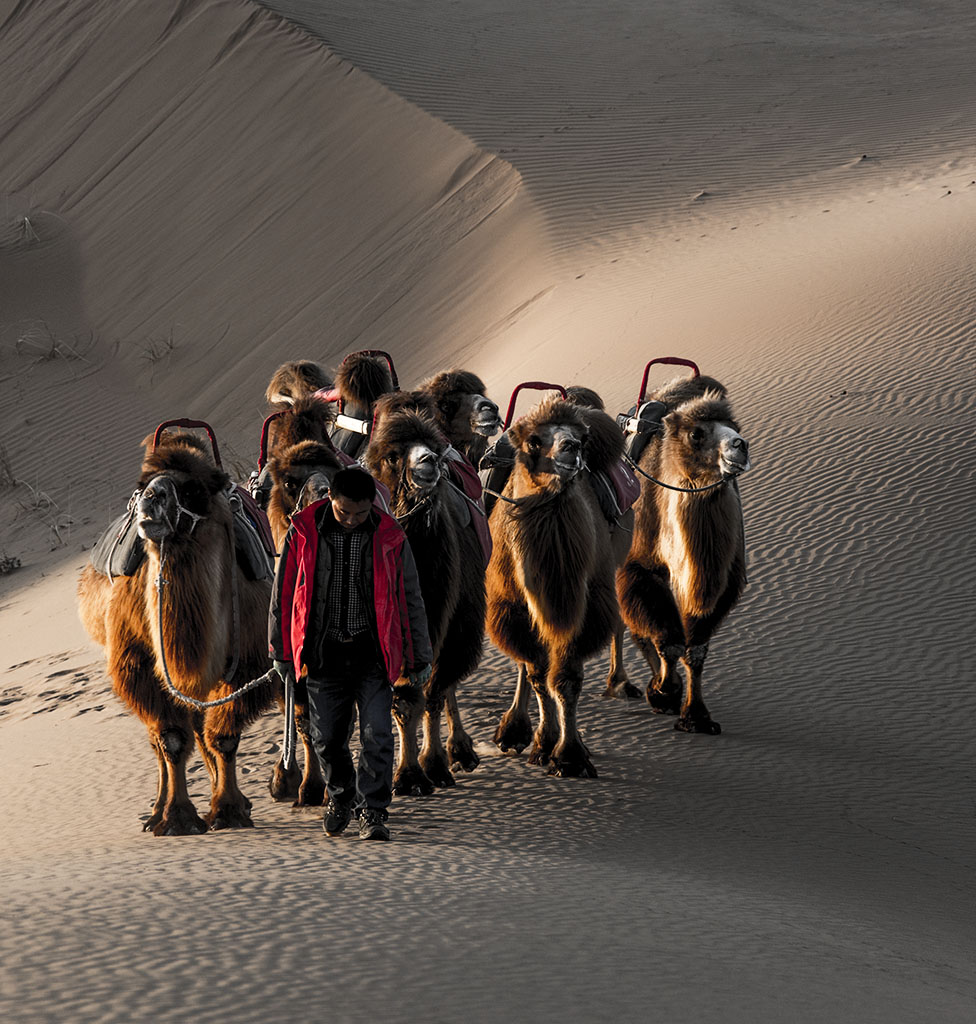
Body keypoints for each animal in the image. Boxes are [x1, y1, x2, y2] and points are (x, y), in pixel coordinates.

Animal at [74, 432, 274, 831]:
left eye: (193, 489)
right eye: (142, 485)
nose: (151, 499)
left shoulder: (250, 662)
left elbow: (223, 737)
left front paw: (228, 810)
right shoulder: (136, 662)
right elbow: (172, 739)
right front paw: (176, 817)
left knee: (201, 728)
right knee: (164, 737)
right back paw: (155, 810)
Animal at [364, 403, 485, 794]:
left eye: (430, 447)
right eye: (392, 456)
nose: (429, 461)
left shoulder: (438, 617)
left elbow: (425, 696)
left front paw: (423, 769)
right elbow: (400, 703)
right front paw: (402, 774)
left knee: (444, 683)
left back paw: (459, 752)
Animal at [485, 395, 622, 770]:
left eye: (583, 438)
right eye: (534, 441)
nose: (570, 447)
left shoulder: (584, 607)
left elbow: (565, 679)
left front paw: (571, 754)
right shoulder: (513, 608)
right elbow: (537, 675)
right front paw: (545, 744)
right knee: (526, 664)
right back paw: (512, 731)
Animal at [618, 376, 753, 737]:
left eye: (735, 426)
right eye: (697, 434)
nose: (740, 445)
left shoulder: (722, 583)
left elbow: (695, 650)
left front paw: (696, 716)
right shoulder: (639, 568)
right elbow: (670, 641)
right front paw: (663, 692)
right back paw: (621, 685)